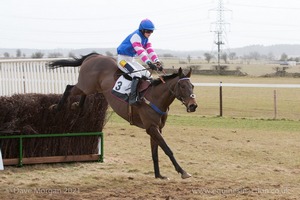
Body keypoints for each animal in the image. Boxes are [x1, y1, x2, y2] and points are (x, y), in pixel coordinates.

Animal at [48, 52, 199, 179]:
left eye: (192, 86)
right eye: (182, 86)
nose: (193, 105)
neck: (155, 97)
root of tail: (95, 56)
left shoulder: (156, 128)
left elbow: (155, 152)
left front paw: (159, 175)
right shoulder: (151, 128)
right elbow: (167, 149)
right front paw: (183, 171)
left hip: (91, 87)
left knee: (81, 93)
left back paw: (77, 106)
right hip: (86, 84)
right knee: (69, 87)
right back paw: (56, 107)